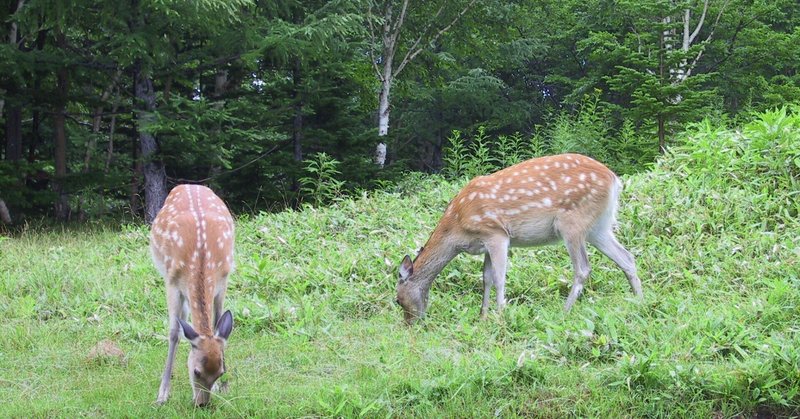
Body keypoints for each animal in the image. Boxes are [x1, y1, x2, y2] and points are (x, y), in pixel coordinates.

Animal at [151, 185, 234, 406]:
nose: (202, 403)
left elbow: (216, 321)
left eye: (221, 372)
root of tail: (190, 185)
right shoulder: (171, 282)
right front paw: (162, 394)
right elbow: (173, 332)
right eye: (196, 372)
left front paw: (221, 388)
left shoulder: (223, 280)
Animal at [396, 153, 648, 324]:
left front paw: (500, 315)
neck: (456, 228)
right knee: (626, 257)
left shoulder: (496, 233)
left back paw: (564, 312)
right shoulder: (485, 244)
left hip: (572, 222)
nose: (411, 324)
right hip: (599, 227)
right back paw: (639, 302)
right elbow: (486, 278)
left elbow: (499, 278)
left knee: (583, 268)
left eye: (397, 300)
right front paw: (483, 316)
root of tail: (614, 180)